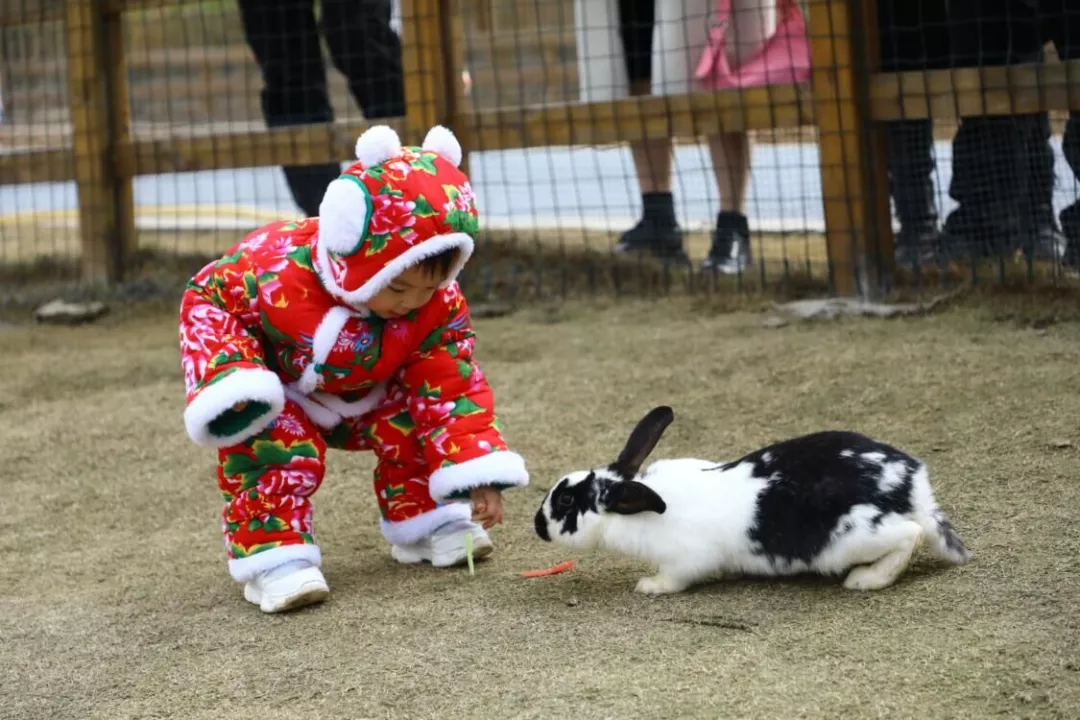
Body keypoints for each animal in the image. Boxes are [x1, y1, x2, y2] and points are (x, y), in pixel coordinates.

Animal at [531, 405, 972, 595]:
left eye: (566, 501)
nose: (536, 525)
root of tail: (911, 486)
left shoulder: (684, 560)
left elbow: (674, 579)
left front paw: (648, 587)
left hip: (850, 539)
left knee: (910, 535)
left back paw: (865, 580)